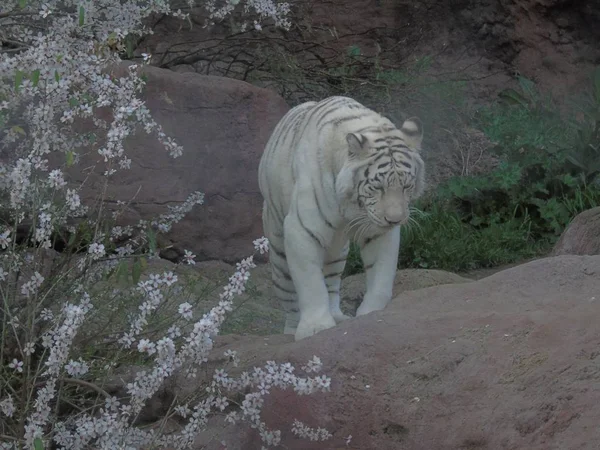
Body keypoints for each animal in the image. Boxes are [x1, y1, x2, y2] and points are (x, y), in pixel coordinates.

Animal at [258, 96, 426, 342]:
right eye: (378, 187)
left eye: (406, 186)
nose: (395, 220)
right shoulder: (302, 230)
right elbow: (310, 282)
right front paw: (315, 327)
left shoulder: (378, 231)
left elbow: (382, 275)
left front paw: (371, 313)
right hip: (278, 248)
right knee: (288, 292)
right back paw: (293, 328)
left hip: (337, 251)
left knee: (331, 280)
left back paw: (338, 317)